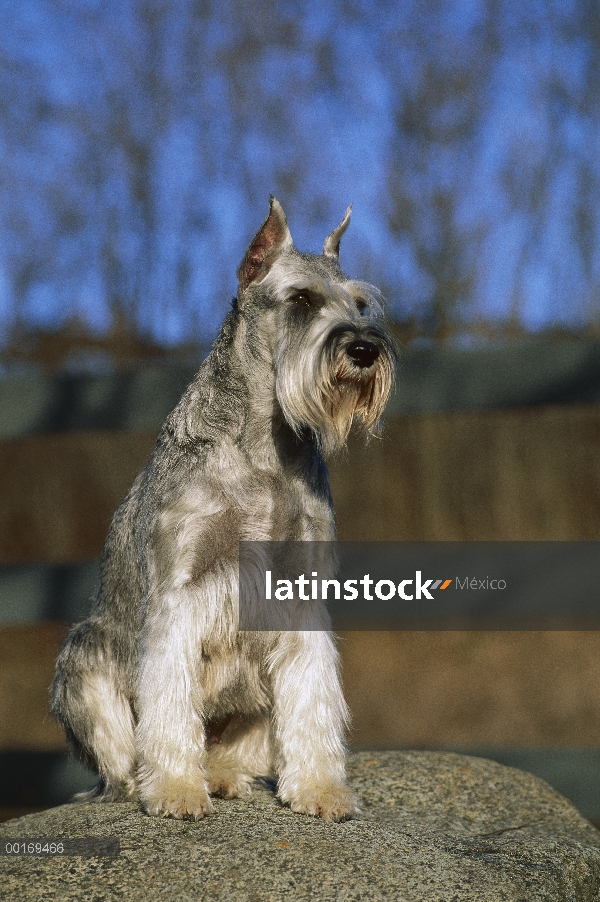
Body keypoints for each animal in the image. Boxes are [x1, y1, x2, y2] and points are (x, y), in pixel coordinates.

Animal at [51, 196, 396, 820]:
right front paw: (175, 789)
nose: (364, 348)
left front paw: (319, 788)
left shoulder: (299, 595)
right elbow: (169, 704)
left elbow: (311, 698)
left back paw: (222, 776)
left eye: (360, 305)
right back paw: (152, 783)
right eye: (301, 299)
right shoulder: (178, 593)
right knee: (118, 763)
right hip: (84, 661)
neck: (263, 444)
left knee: (239, 749)